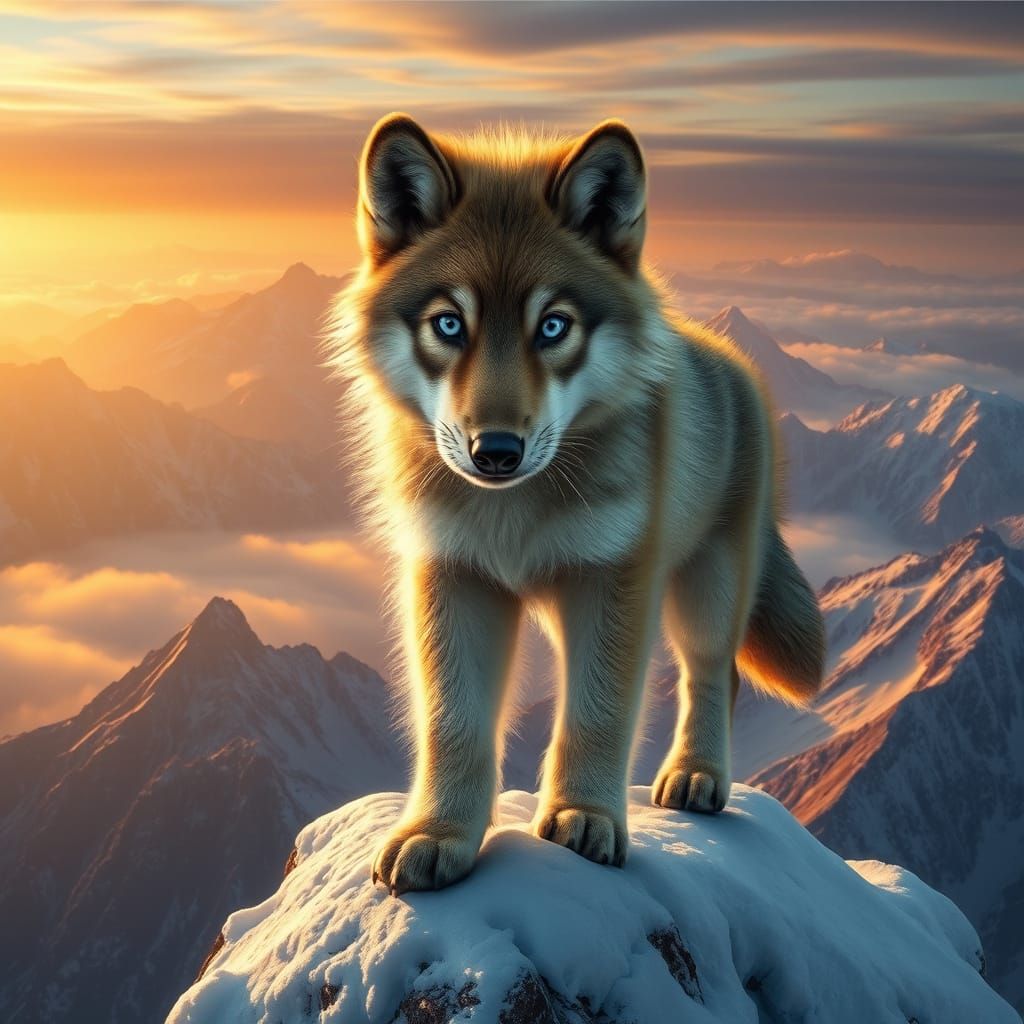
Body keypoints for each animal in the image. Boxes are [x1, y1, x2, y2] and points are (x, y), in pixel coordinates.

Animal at [328, 113, 825, 894]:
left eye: (553, 326)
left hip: (706, 589)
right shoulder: (452, 578)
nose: (495, 450)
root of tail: (731, 361)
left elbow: (598, 712)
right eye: (449, 324)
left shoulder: (611, 581)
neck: (514, 513)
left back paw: (697, 776)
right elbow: (453, 723)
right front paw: (439, 834)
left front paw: (585, 818)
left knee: (714, 673)